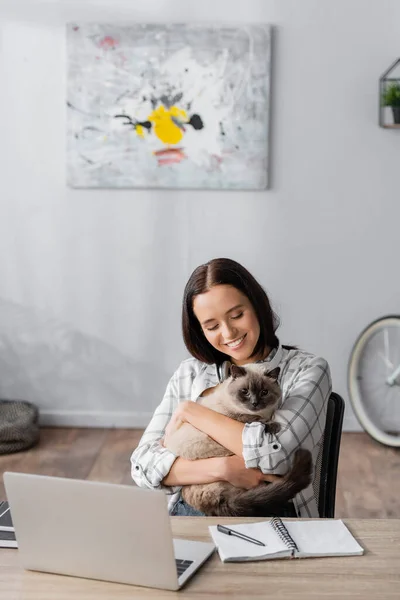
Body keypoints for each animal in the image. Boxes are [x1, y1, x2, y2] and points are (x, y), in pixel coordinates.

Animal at [164, 364, 314, 516]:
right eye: (245, 391)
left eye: (264, 392)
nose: (254, 403)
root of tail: (215, 505)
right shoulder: (236, 416)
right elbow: (254, 419)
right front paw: (274, 425)